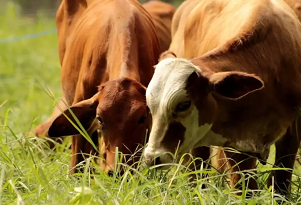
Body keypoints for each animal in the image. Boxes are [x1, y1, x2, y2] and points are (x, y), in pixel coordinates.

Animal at [143, 0, 300, 195]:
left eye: (183, 105)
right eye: (150, 106)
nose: (151, 158)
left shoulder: (291, 137)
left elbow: (280, 186)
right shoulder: (235, 143)